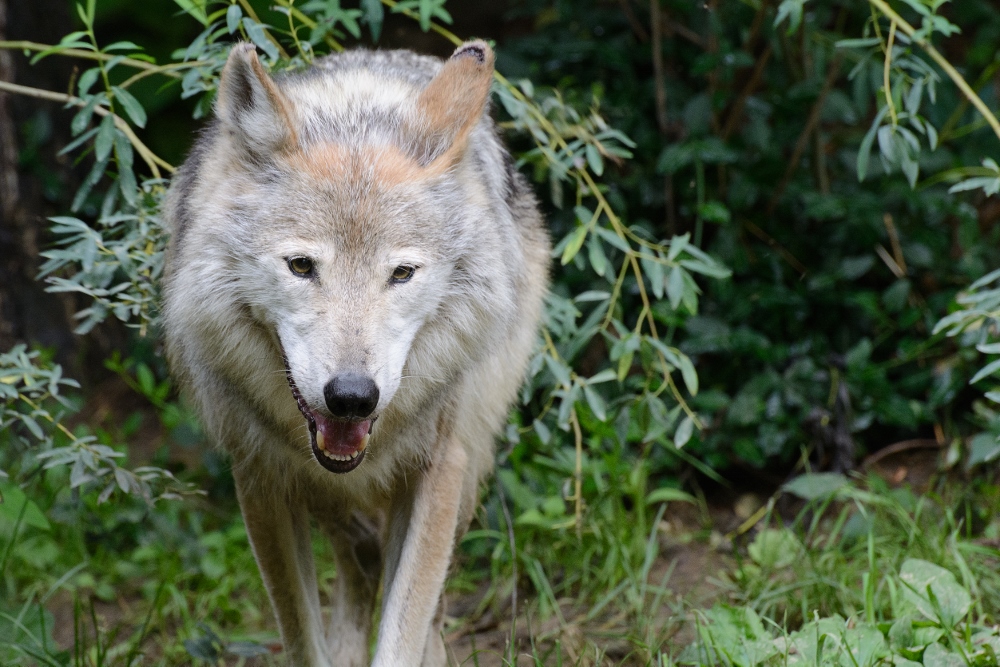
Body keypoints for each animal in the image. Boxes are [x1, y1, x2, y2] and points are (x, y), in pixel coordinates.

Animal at [161, 41, 552, 667]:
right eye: (301, 266)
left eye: (402, 273)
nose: (351, 397)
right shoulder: (260, 478)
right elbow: (302, 633)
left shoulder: (441, 468)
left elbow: (403, 628)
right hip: (322, 493)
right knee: (362, 557)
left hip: (468, 466)